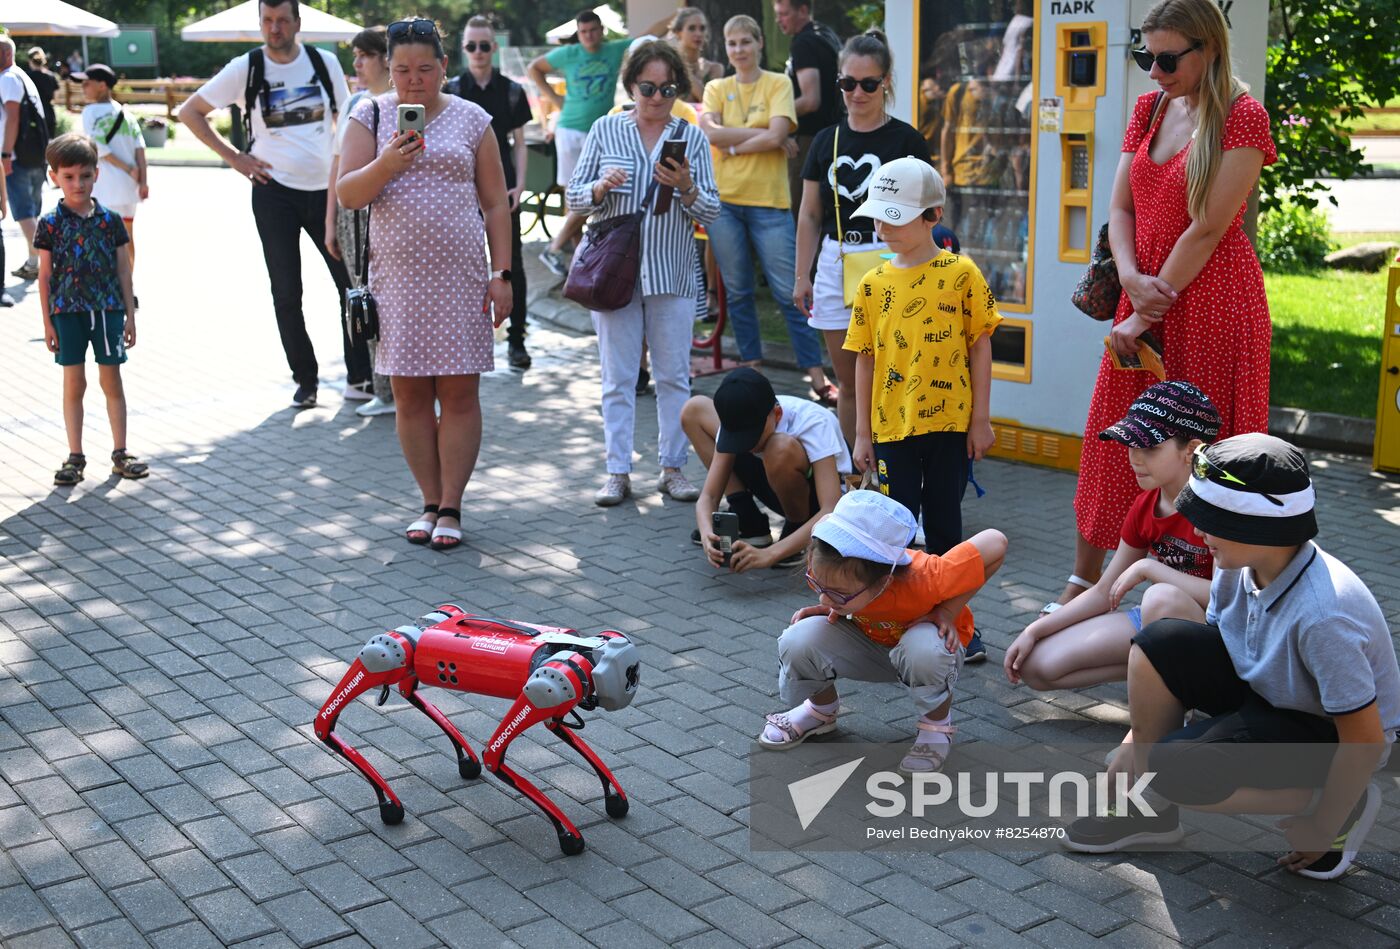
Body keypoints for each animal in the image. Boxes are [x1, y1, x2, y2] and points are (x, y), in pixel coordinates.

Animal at [312, 604, 641, 856]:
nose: (630, 673)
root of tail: (421, 628)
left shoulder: (553, 707)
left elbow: (514, 746)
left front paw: (615, 800)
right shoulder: (544, 689)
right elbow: (494, 755)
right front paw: (570, 836)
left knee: (404, 692)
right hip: (390, 655)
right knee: (323, 723)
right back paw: (389, 802)